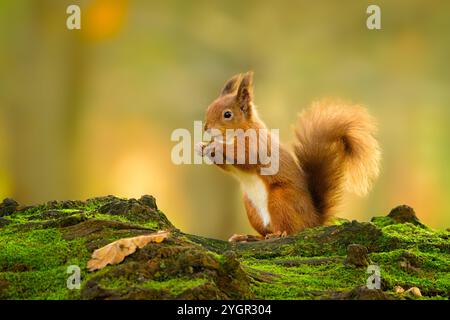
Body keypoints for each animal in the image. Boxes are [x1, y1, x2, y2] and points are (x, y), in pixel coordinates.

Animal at [196, 71, 380, 241]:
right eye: (208, 109)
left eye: (227, 114)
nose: (206, 127)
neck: (235, 134)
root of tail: (313, 221)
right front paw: (201, 147)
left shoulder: (258, 145)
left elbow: (244, 157)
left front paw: (215, 146)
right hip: (251, 207)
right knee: (264, 233)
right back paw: (247, 237)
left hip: (280, 200)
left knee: (290, 229)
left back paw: (277, 234)